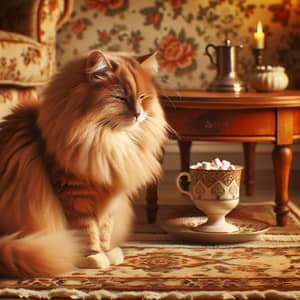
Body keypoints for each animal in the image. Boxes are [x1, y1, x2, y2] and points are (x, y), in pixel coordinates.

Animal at [0, 50, 169, 278]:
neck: (108, 141)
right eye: (120, 98)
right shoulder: (74, 192)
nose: (138, 114)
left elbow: (104, 229)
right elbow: (86, 230)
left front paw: (108, 253)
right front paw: (92, 257)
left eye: (142, 97)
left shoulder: (111, 194)